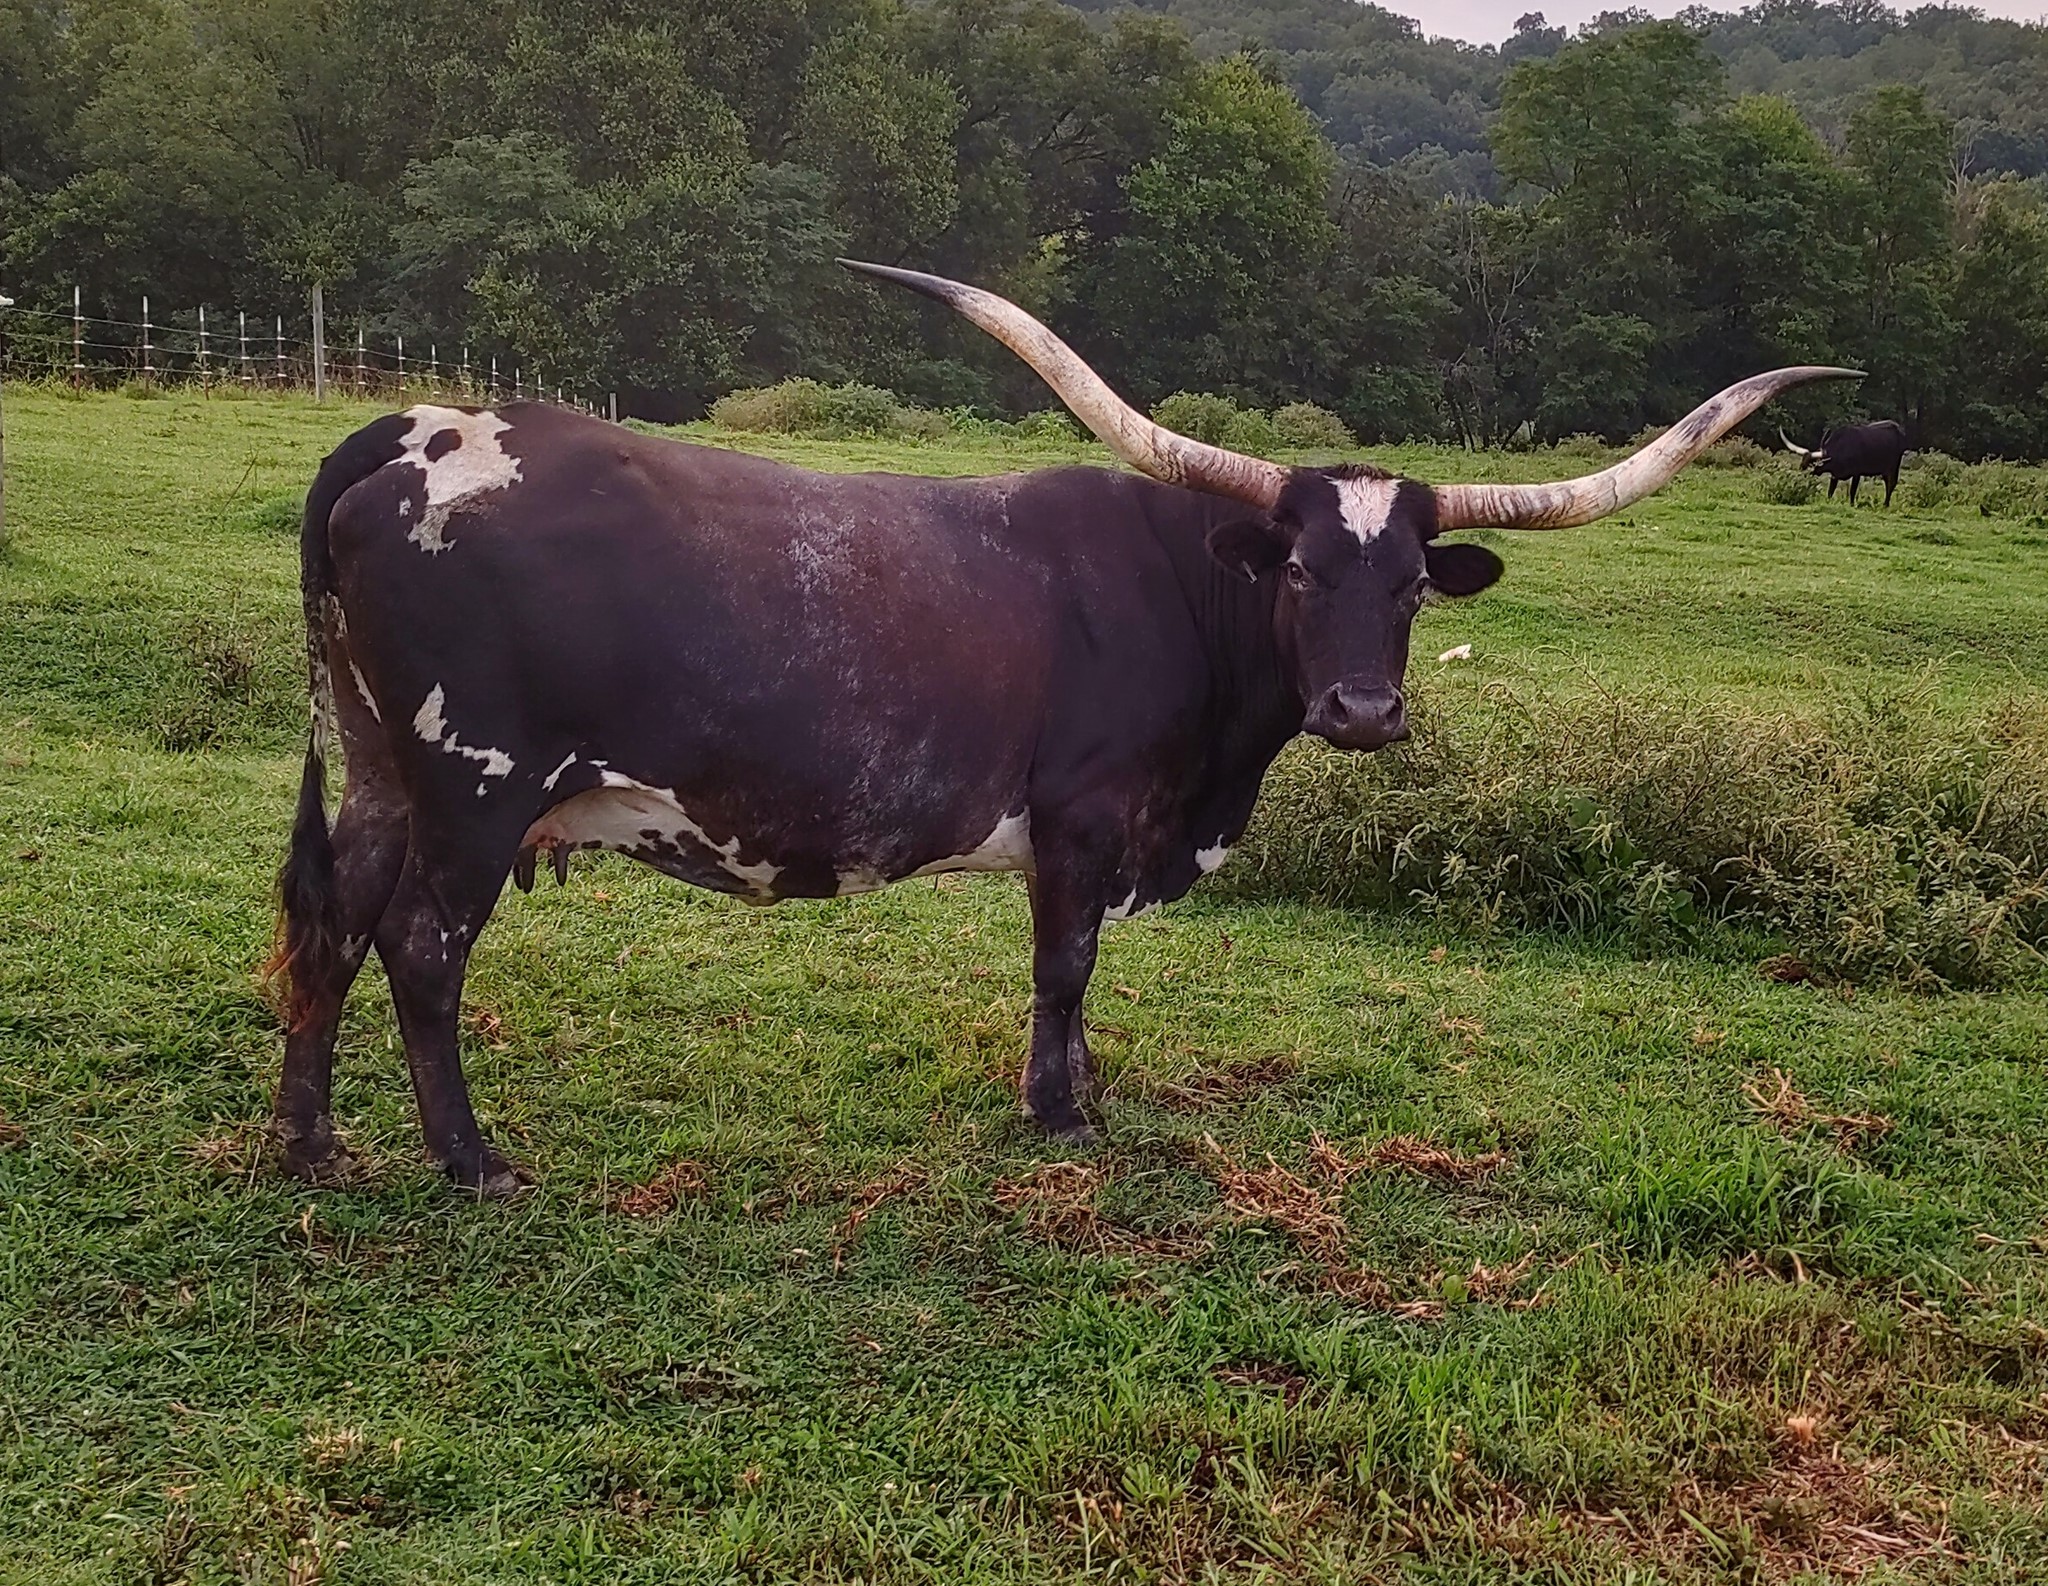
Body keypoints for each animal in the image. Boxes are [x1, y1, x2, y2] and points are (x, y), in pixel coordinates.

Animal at [266, 259, 1858, 1194]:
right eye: (1296, 569)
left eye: (1410, 581)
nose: (1363, 709)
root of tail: (405, 432)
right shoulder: (1085, 817)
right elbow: (1067, 966)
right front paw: (1061, 1113)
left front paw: (1082, 1091)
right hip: (473, 783)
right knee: (418, 946)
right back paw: (470, 1159)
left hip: (380, 766)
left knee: (332, 921)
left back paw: (307, 1140)